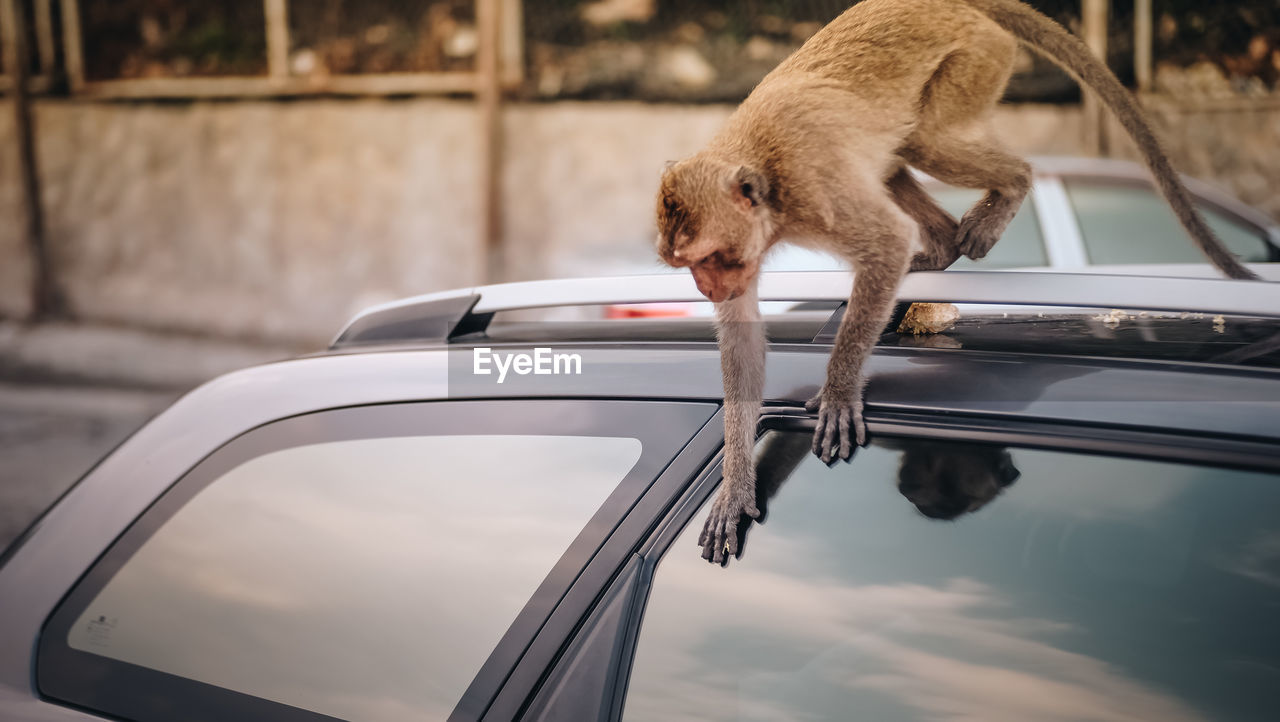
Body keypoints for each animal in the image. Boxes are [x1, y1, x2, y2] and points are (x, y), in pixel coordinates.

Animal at [660, 0, 1259, 563]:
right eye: (690, 264)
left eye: (708, 258)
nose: (706, 288)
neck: (767, 181)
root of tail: (949, 5)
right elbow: (743, 342)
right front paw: (737, 487)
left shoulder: (814, 191)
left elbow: (886, 243)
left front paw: (839, 390)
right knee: (902, 150)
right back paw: (943, 247)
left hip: (976, 58)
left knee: (925, 139)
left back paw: (1009, 187)